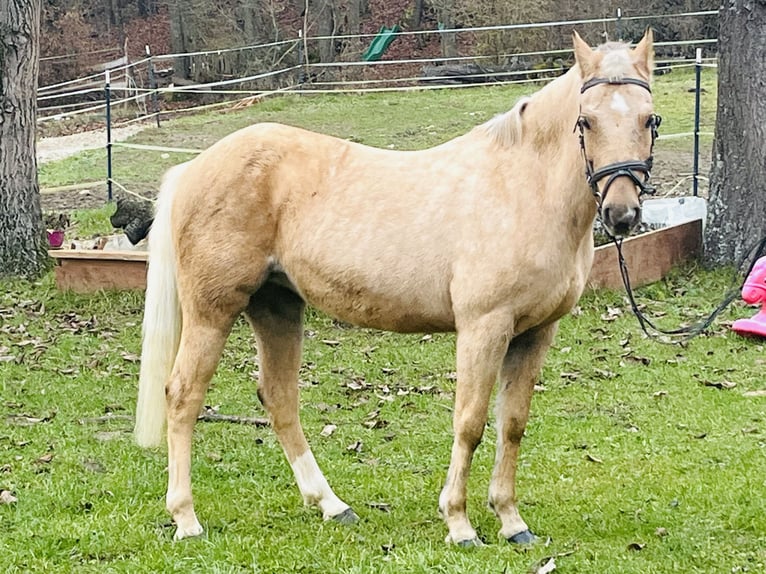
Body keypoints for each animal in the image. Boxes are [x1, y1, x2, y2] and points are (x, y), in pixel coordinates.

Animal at [136, 31, 660, 548]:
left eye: (649, 119)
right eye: (586, 121)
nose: (621, 213)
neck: (521, 188)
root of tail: (193, 169)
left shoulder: (535, 333)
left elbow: (512, 425)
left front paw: (512, 522)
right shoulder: (484, 328)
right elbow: (469, 423)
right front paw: (459, 524)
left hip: (277, 307)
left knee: (279, 400)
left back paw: (332, 506)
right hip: (212, 311)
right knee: (183, 396)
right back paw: (186, 519)